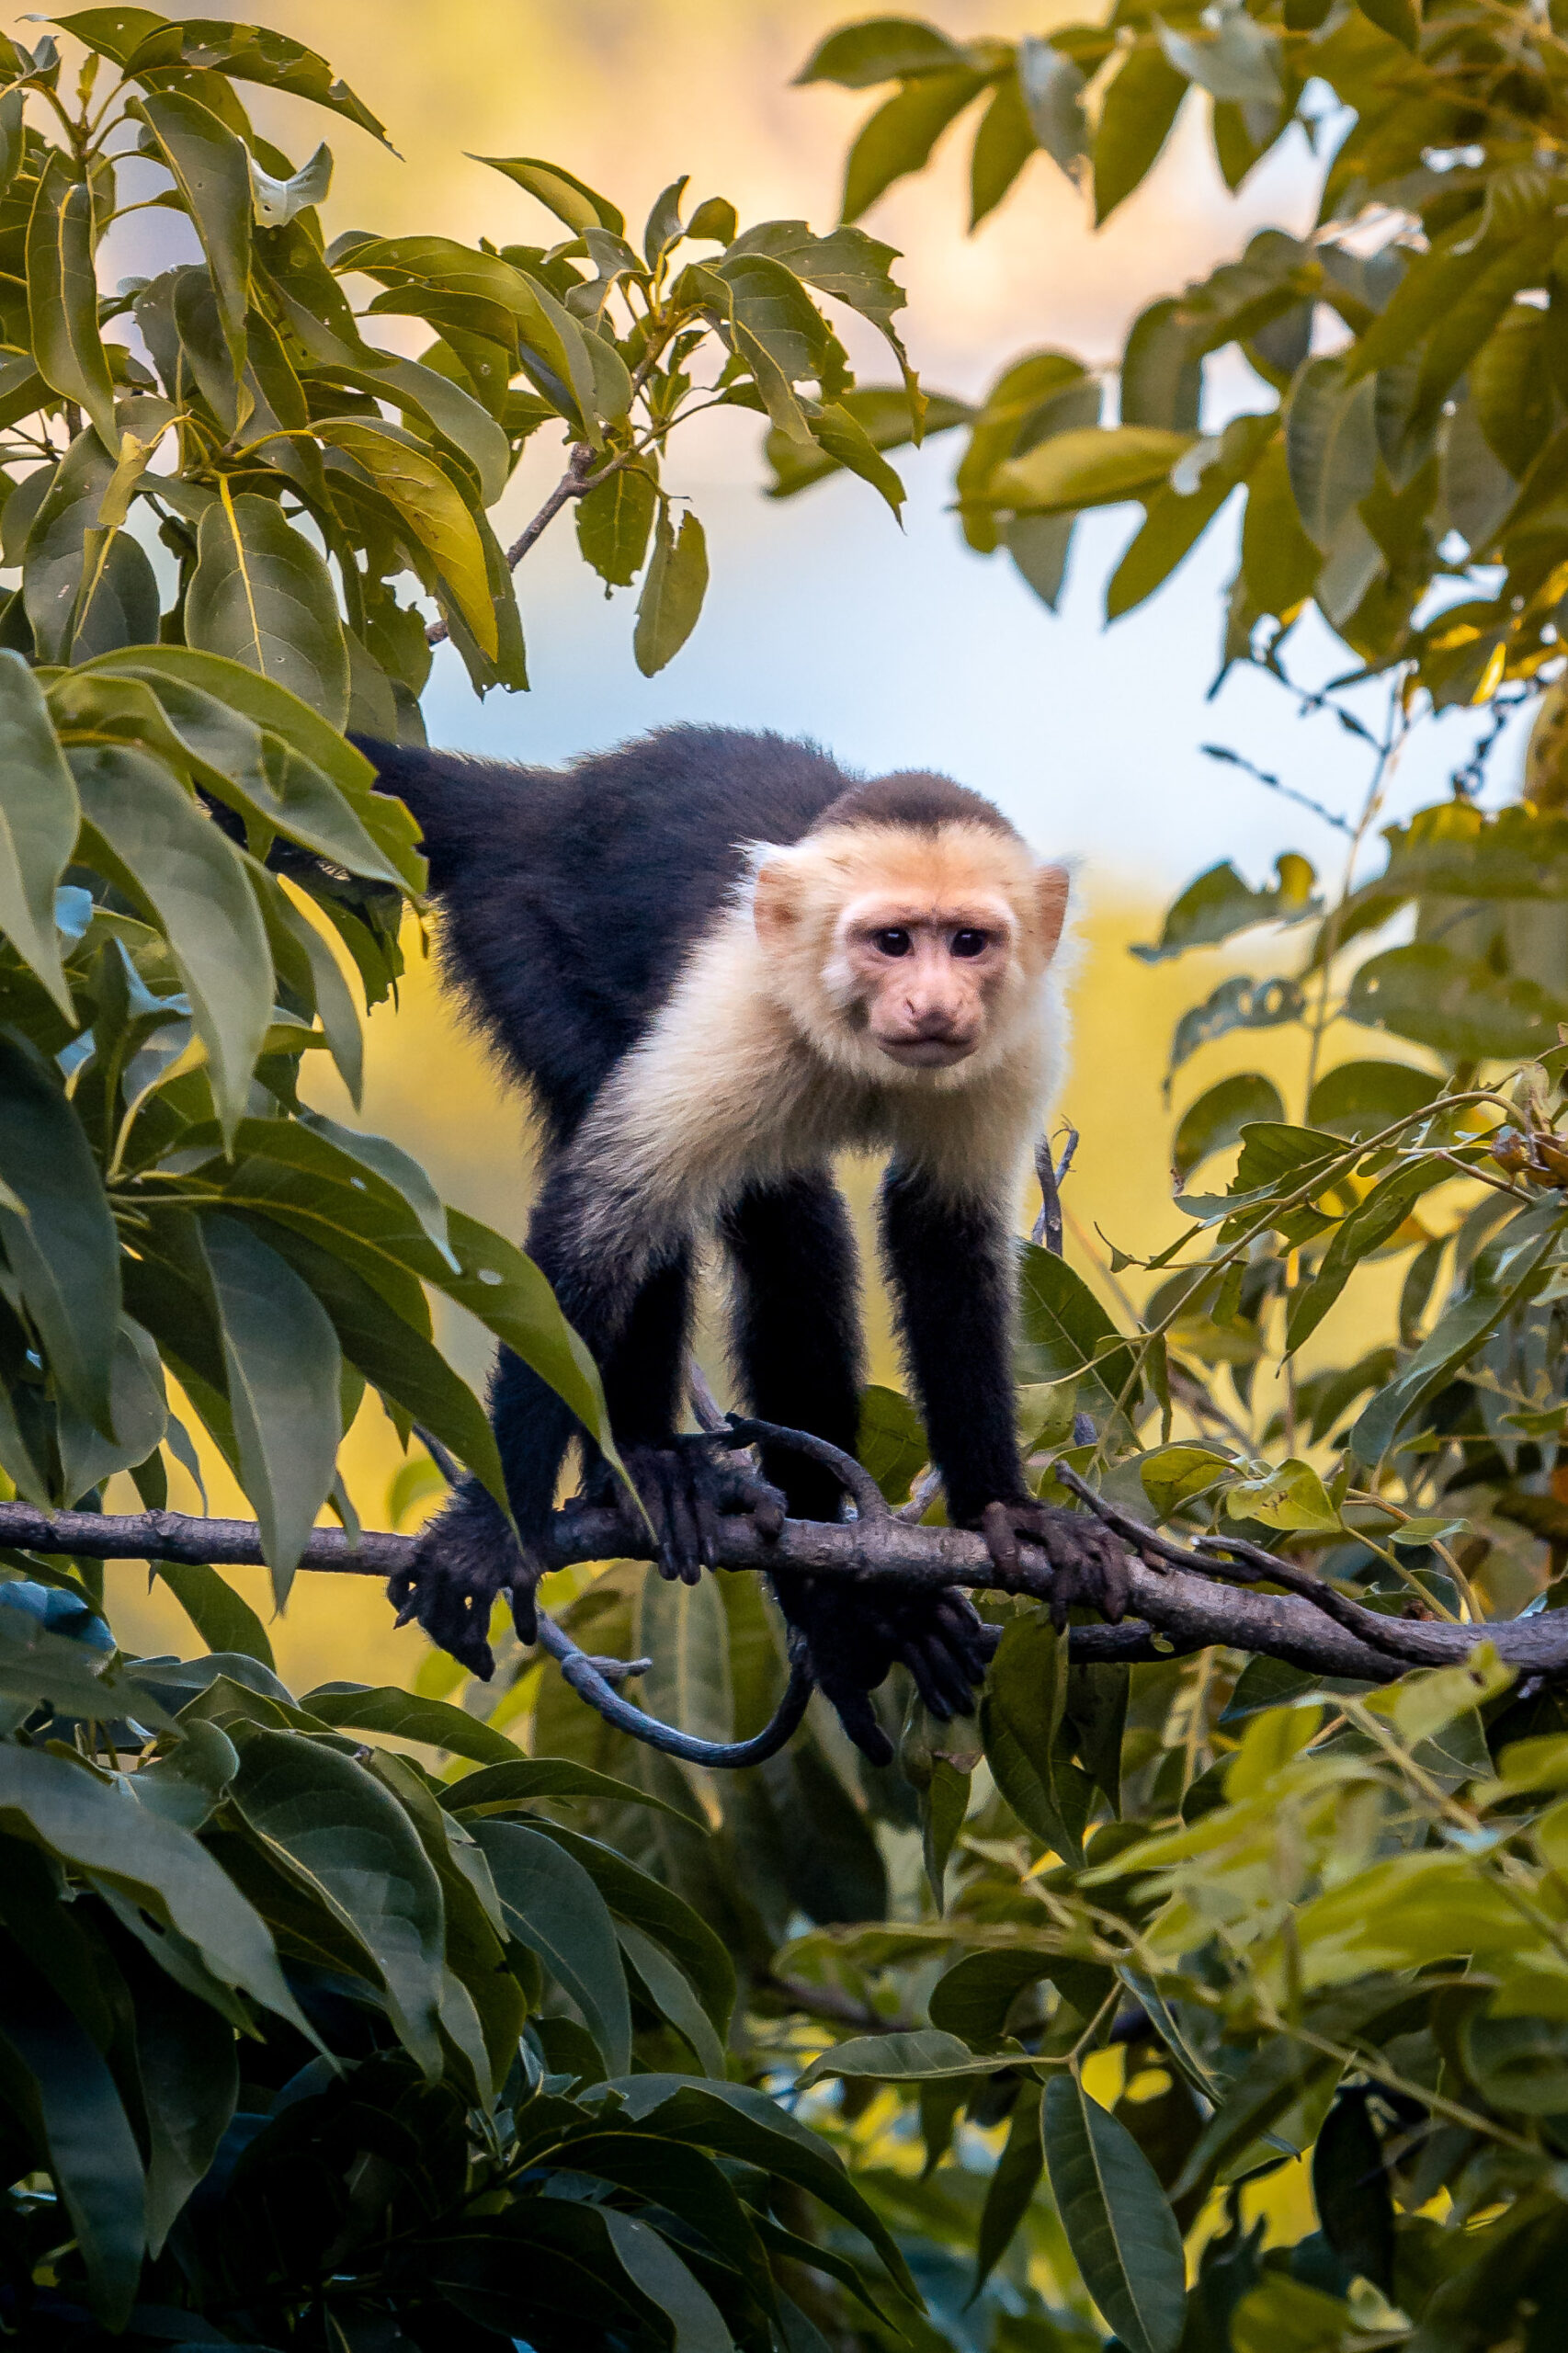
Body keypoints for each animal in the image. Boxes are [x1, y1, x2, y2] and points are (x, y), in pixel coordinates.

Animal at [357, 726, 1130, 1762]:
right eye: (892, 942)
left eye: (968, 943)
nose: (933, 1005)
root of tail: (553, 799)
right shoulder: (730, 1005)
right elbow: (597, 1223)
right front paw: (493, 1526)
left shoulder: (1019, 1039)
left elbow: (943, 1243)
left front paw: (1001, 1510)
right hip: (516, 926)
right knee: (646, 1170)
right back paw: (646, 1466)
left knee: (787, 1231)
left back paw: (837, 1594)